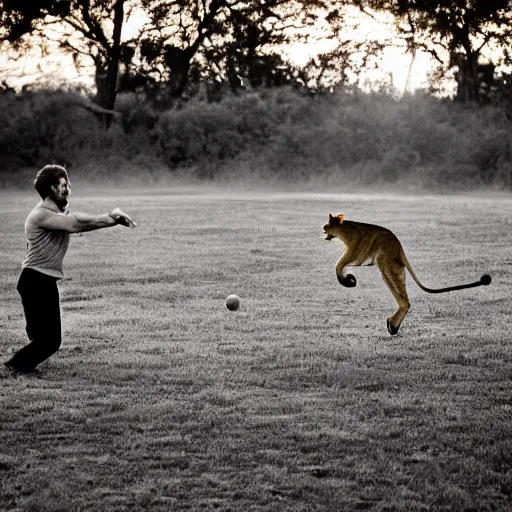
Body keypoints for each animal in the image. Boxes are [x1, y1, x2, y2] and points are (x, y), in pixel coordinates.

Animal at [324, 213, 492, 336]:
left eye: (329, 224)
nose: (323, 227)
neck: (345, 229)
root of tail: (399, 247)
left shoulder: (357, 250)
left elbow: (339, 264)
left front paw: (347, 279)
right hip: (395, 268)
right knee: (404, 298)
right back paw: (393, 326)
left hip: (388, 265)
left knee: (404, 300)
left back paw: (392, 325)